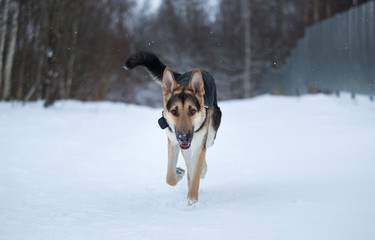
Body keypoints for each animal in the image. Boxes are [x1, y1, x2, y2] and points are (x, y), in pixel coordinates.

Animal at [123, 51, 223, 203]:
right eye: (174, 112)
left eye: (192, 111)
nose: (184, 137)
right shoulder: (174, 142)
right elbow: (170, 177)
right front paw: (179, 173)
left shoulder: (197, 145)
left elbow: (195, 175)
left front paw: (192, 202)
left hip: (210, 135)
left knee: (204, 152)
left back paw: (202, 171)